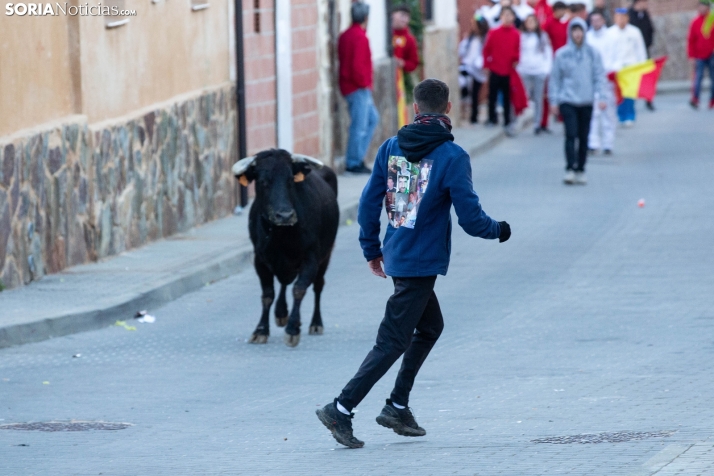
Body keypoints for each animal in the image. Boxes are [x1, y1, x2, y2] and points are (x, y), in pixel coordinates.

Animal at [231, 149, 336, 346]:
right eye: (263, 181)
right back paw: (281, 314)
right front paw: (261, 330)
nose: (285, 215)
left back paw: (315, 323)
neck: (281, 235)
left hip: (326, 256)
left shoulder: (311, 258)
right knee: (284, 283)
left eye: (290, 180)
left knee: (318, 285)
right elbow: (268, 294)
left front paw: (293, 329)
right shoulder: (260, 260)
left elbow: (299, 289)